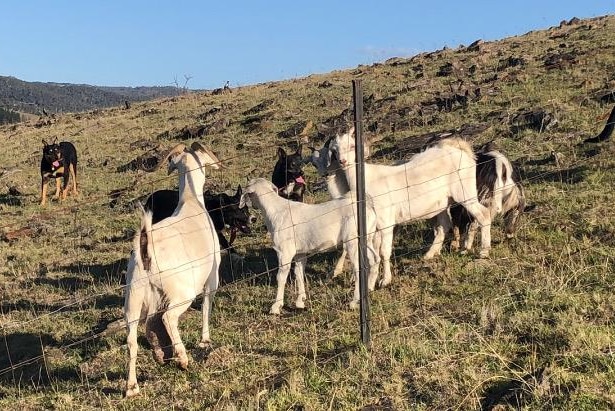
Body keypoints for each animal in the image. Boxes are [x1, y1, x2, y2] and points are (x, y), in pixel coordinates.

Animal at [124, 142, 223, 400]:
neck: (191, 201)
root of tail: (146, 249)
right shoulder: (211, 278)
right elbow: (207, 305)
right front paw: (205, 340)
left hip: (134, 296)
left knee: (132, 338)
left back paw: (132, 386)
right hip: (181, 293)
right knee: (169, 318)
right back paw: (182, 358)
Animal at [241, 179, 380, 314]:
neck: (276, 211)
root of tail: (368, 207)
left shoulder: (284, 251)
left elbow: (281, 277)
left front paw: (276, 307)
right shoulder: (299, 253)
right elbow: (299, 273)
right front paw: (300, 301)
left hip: (353, 242)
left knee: (359, 269)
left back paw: (354, 302)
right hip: (367, 239)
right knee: (375, 259)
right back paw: (369, 288)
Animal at [330, 129, 494, 290]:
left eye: (352, 146)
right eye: (335, 150)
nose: (343, 161)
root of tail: (460, 149)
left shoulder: (386, 221)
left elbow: (383, 252)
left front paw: (385, 280)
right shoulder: (375, 226)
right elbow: (374, 253)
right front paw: (370, 283)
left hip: (464, 192)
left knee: (483, 214)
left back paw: (483, 251)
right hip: (443, 202)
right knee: (445, 224)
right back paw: (431, 254)